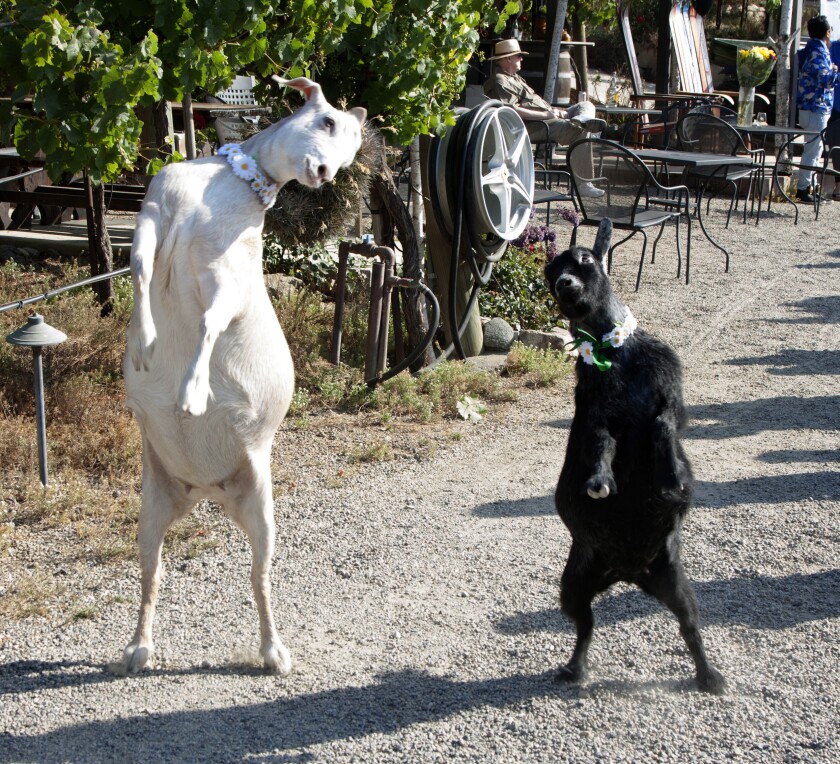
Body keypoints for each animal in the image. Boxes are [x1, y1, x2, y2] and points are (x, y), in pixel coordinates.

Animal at [120, 77, 364, 676]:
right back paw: (138, 648)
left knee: (260, 577)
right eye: (326, 121)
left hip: (262, 509)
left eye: (351, 153)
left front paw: (191, 394)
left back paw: (274, 652)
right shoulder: (153, 215)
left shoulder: (227, 277)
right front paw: (143, 342)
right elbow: (138, 270)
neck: (223, 184)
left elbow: (210, 321)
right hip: (152, 508)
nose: (324, 173)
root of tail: (208, 490)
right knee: (152, 573)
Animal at [540, 218, 724, 696]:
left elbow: (663, 427)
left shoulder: (670, 399)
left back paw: (709, 675)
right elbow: (602, 446)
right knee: (585, 626)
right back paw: (575, 669)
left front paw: (671, 478)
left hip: (674, 581)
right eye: (550, 272)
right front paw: (600, 482)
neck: (613, 353)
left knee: (689, 627)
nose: (565, 284)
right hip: (575, 584)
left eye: (586, 259)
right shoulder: (596, 414)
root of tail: (627, 572)